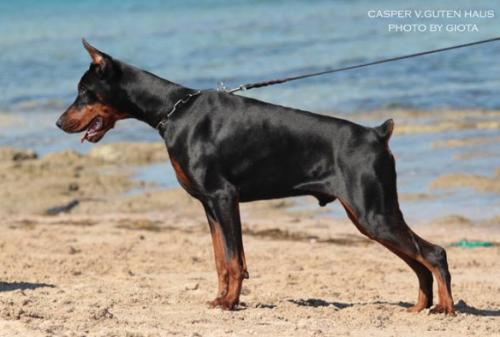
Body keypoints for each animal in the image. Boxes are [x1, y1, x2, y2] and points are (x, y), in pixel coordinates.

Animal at [56, 40, 456, 314]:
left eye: (83, 92)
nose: (59, 123)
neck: (174, 111)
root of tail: (378, 133)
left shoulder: (223, 196)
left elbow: (234, 260)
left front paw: (229, 303)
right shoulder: (209, 205)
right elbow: (221, 259)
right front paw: (221, 299)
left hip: (373, 212)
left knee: (433, 253)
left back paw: (445, 308)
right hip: (369, 216)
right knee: (418, 260)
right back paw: (420, 307)